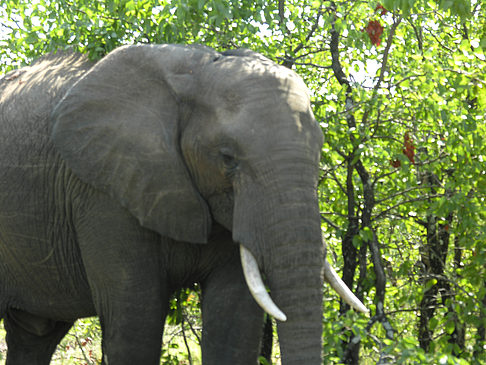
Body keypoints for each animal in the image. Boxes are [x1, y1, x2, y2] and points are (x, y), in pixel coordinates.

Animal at [0, 44, 364, 362]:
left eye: (319, 148)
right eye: (227, 158)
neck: (195, 72)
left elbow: (233, 325)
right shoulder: (103, 194)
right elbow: (136, 322)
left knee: (35, 335)